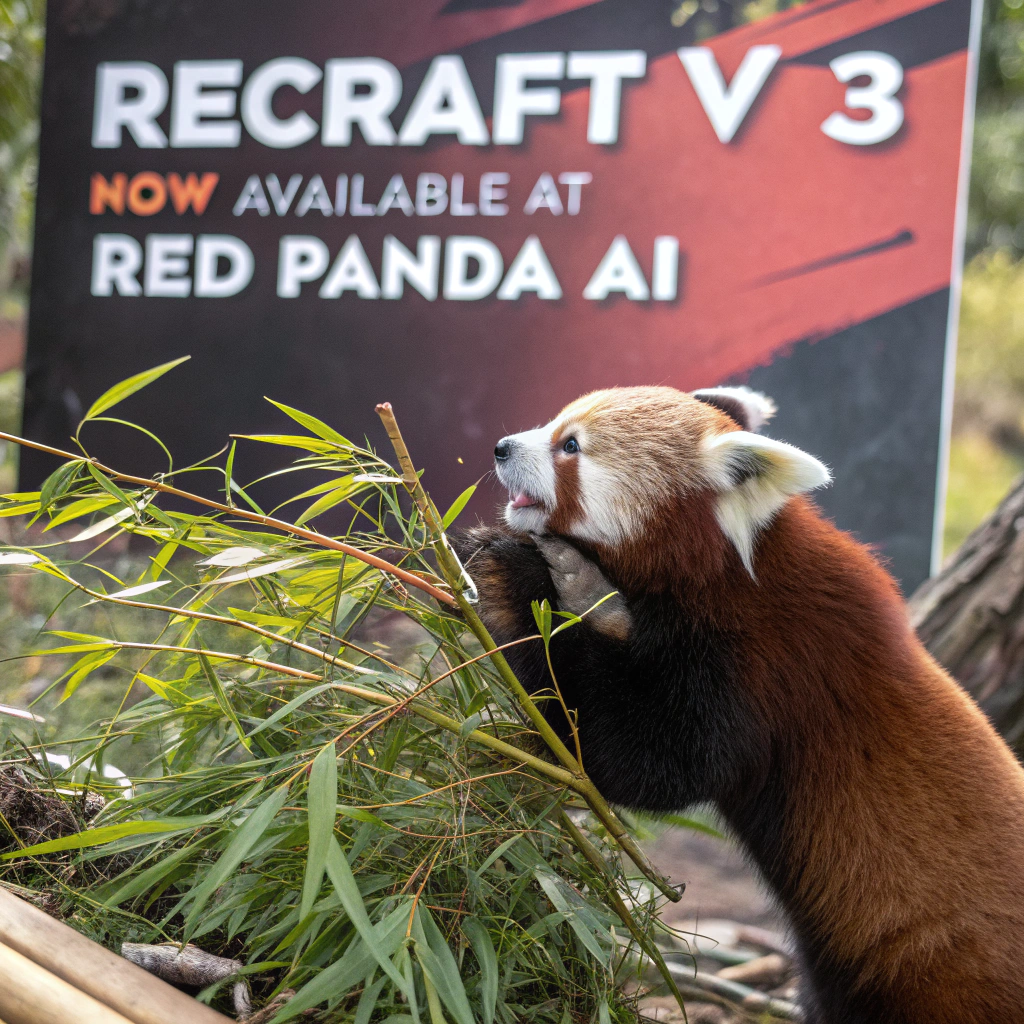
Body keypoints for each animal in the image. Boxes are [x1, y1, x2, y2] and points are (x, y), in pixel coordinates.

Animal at [451, 385, 1024, 1024]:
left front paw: (515, 577)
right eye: (553, 424)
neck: (730, 571)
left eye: (570, 446)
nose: (502, 447)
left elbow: (649, 761)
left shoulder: (769, 664)